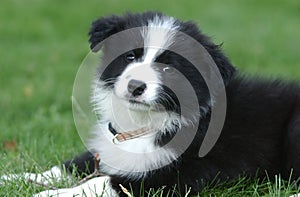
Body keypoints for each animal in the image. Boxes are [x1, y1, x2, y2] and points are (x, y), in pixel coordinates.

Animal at [5, 11, 300, 196]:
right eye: (131, 56)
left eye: (169, 69)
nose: (135, 86)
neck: (144, 123)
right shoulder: (107, 148)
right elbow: (69, 166)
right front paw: (15, 178)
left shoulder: (176, 176)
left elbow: (103, 182)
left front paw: (51, 194)